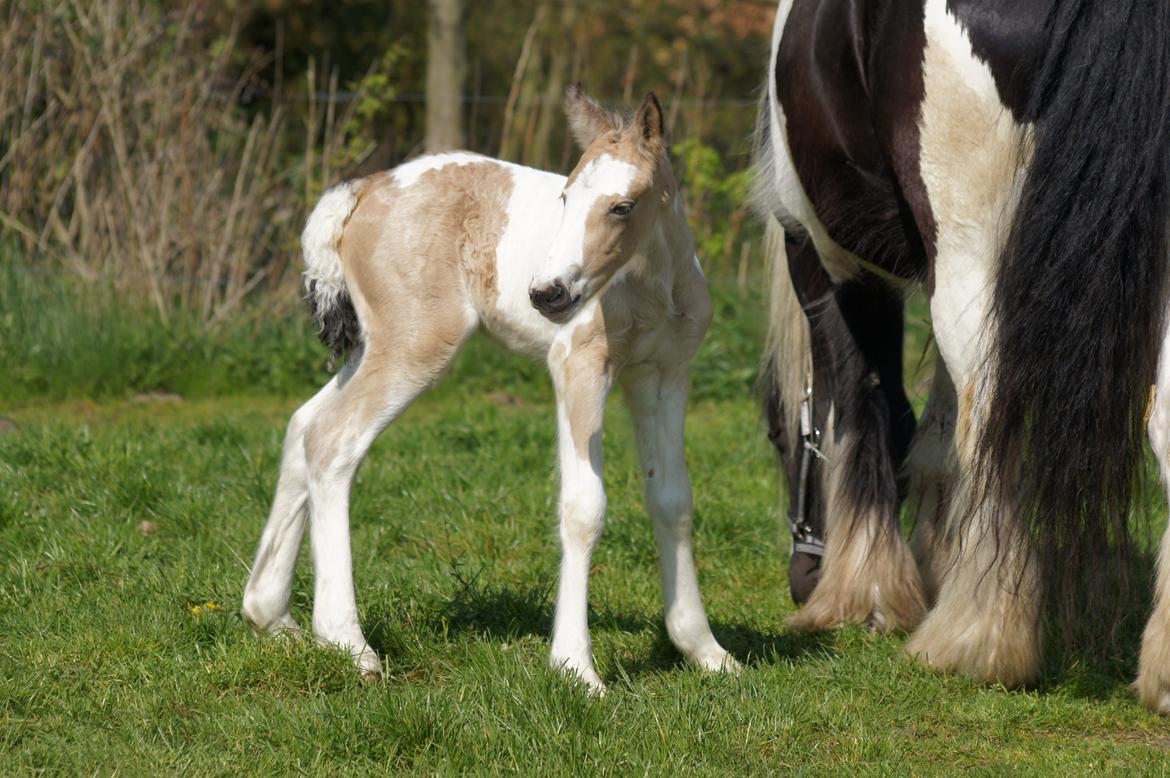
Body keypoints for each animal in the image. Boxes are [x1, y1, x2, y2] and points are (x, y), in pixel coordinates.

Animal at [241, 86, 734, 692]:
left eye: (623, 206)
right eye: (566, 197)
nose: (548, 294)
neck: (653, 286)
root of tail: (365, 188)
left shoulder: (662, 376)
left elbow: (672, 501)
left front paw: (704, 650)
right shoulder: (577, 365)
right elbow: (583, 507)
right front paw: (575, 667)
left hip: (374, 345)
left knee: (303, 424)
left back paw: (271, 616)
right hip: (414, 345)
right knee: (333, 439)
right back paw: (347, 643)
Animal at [753, 0, 1170, 711]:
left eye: (776, 436)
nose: (802, 577)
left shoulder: (833, 260)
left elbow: (864, 409)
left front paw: (865, 596)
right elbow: (936, 432)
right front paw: (935, 561)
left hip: (971, 253)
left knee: (991, 414)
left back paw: (977, 641)